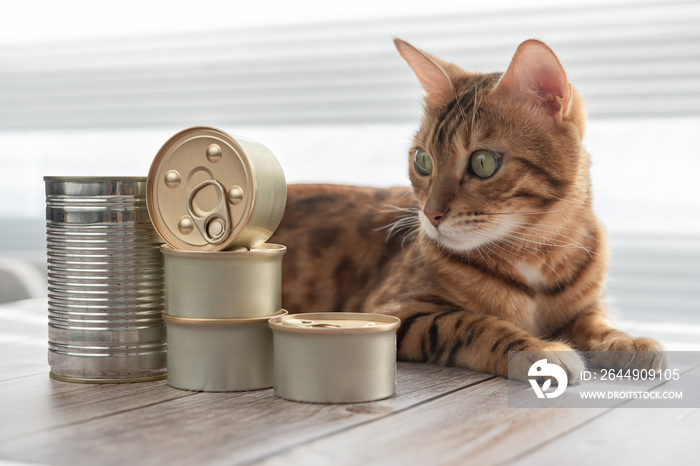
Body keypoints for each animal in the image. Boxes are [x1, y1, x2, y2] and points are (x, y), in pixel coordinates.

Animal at [270, 39, 668, 382]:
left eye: (483, 163)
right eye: (423, 160)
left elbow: (596, 321)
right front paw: (539, 350)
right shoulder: (391, 309)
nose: (431, 215)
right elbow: (472, 323)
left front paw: (625, 340)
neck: (535, 253)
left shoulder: (585, 306)